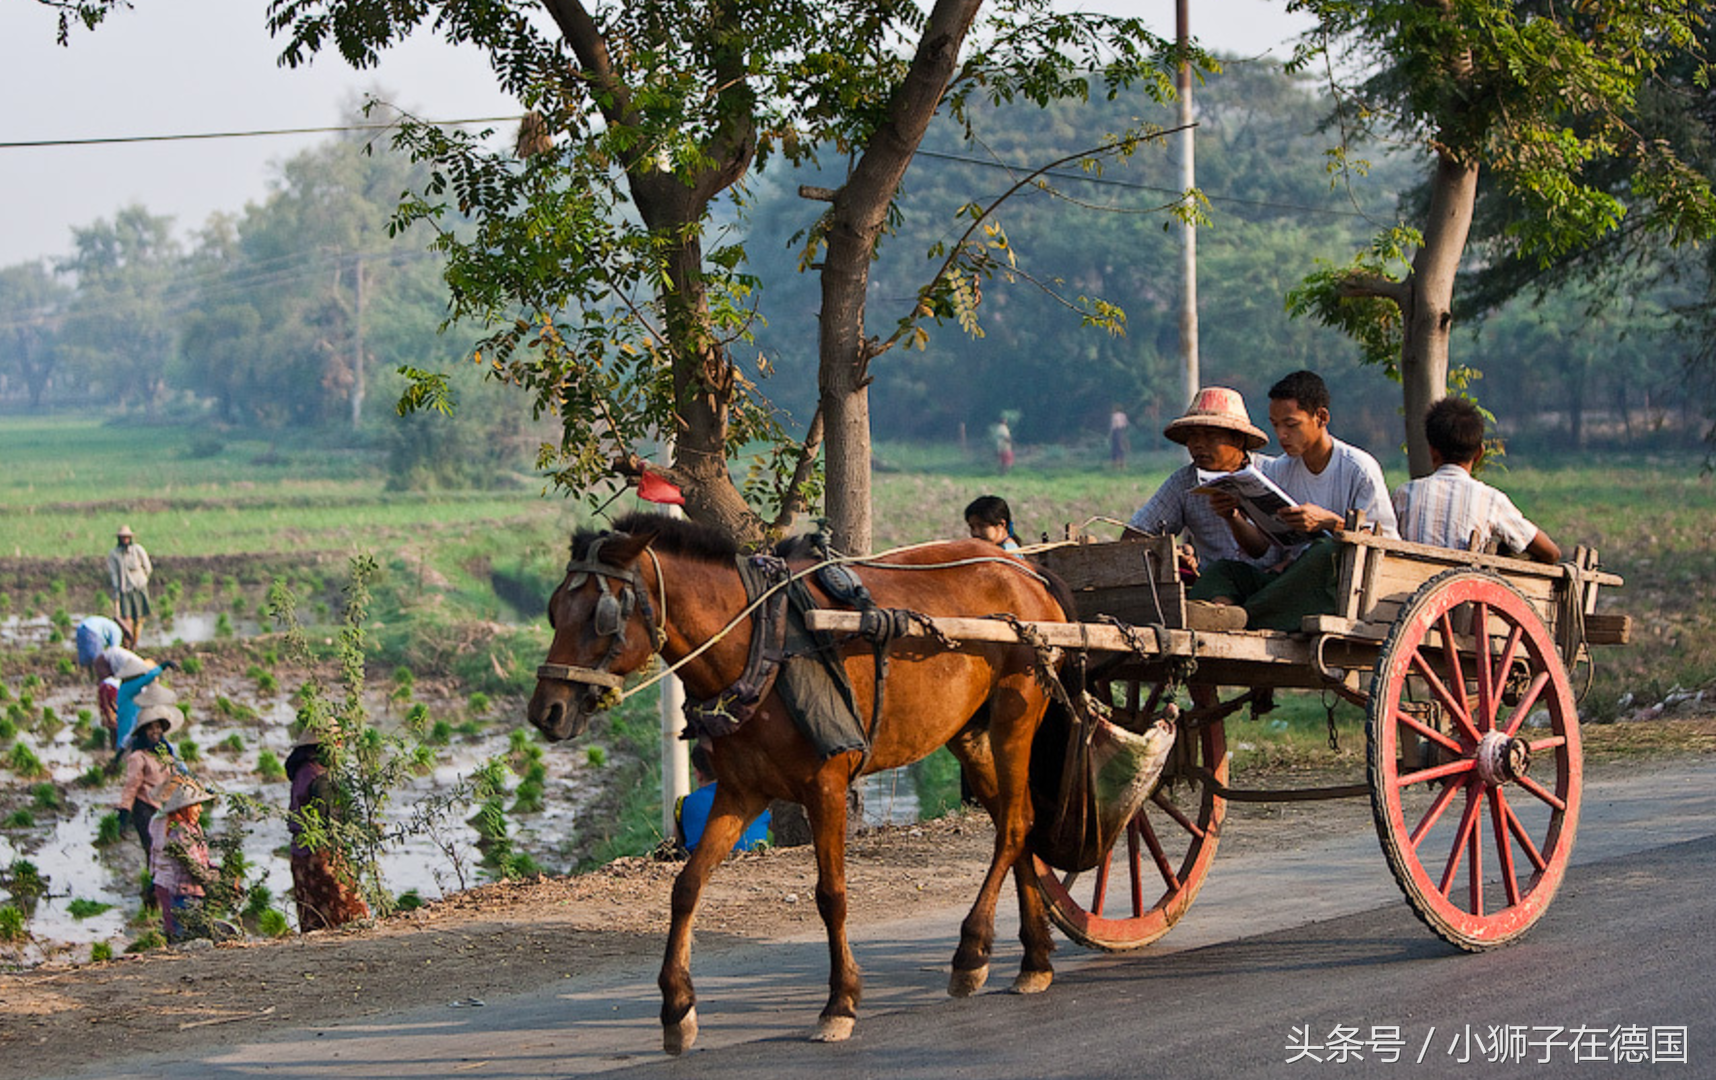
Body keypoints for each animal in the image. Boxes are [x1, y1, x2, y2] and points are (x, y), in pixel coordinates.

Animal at [525, 511, 1070, 1050]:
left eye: (601, 616)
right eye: (554, 610)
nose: (546, 712)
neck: (762, 644)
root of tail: (1027, 572)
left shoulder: (825, 785)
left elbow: (831, 894)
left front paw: (840, 1003)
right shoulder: (740, 792)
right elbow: (686, 886)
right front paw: (678, 1007)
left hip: (1016, 714)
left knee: (1014, 825)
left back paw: (972, 952)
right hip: (968, 732)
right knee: (1016, 821)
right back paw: (1034, 959)